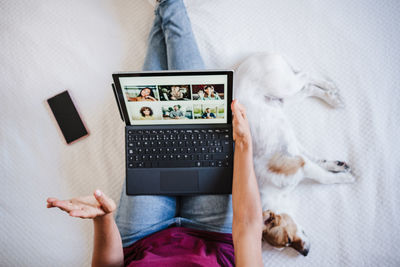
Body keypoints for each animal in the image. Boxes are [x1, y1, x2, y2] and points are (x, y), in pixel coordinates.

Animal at [234, 54, 356, 258]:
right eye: (285, 245)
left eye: (288, 240)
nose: (305, 253)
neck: (271, 192)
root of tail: (254, 57)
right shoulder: (299, 155)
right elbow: (318, 160)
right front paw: (336, 166)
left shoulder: (301, 165)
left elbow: (325, 178)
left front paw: (345, 178)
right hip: (283, 99)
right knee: (307, 88)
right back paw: (330, 97)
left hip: (284, 85)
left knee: (305, 76)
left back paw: (330, 88)